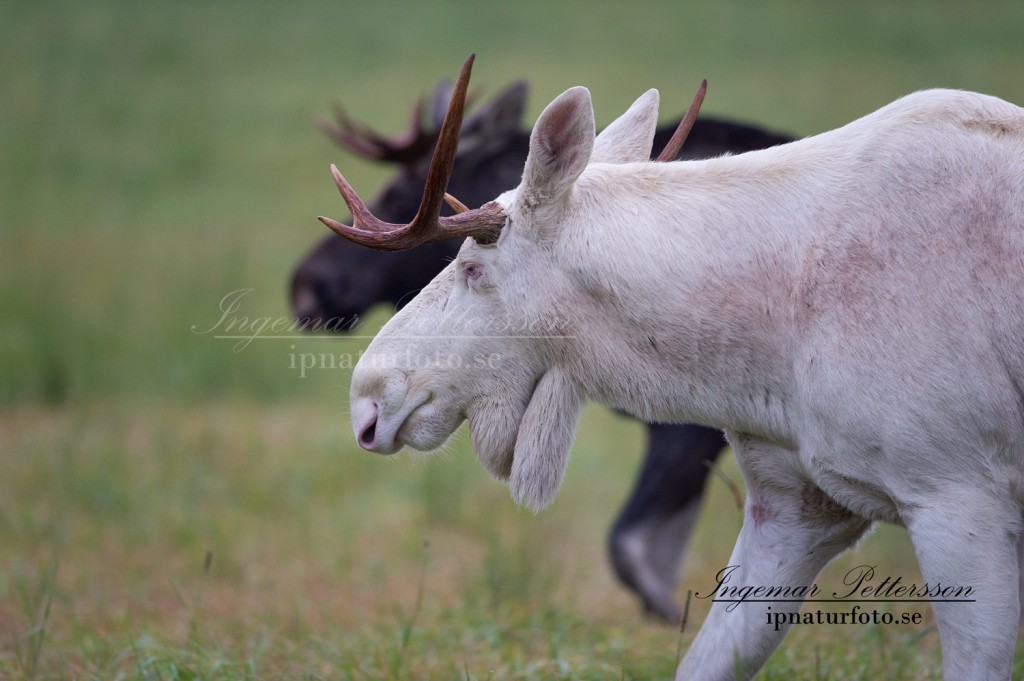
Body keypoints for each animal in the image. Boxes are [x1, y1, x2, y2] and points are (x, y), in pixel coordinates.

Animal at [319, 55, 1024, 675]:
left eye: (471, 267)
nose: (367, 395)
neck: (764, 343)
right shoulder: (798, 507)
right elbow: (703, 657)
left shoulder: (958, 498)